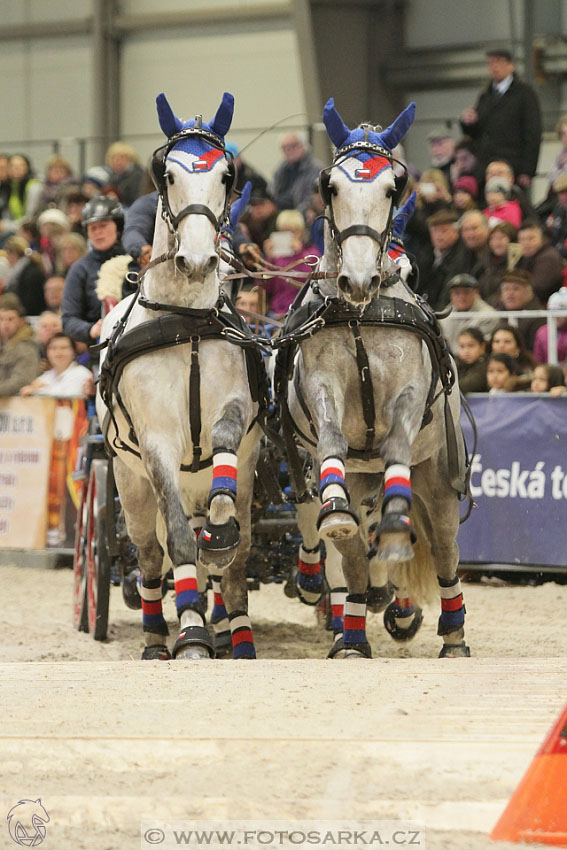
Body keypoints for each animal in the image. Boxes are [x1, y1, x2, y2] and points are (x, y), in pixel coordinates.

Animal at [96, 94, 268, 664]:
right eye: (166, 174)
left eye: (226, 175)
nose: (196, 259)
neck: (184, 317)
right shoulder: (156, 445)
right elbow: (177, 541)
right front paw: (190, 636)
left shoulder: (234, 411)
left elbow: (224, 442)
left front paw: (219, 533)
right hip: (128, 482)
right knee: (152, 557)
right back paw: (159, 637)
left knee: (237, 559)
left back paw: (237, 634)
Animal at [276, 97, 470, 656]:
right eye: (331, 186)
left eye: (392, 187)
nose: (358, 278)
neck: (362, 313)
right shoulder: (322, 389)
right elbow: (331, 439)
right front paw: (336, 511)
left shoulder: (407, 394)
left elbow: (398, 444)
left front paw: (397, 520)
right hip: (358, 477)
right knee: (354, 561)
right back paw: (354, 631)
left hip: (440, 481)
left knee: (445, 552)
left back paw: (453, 635)